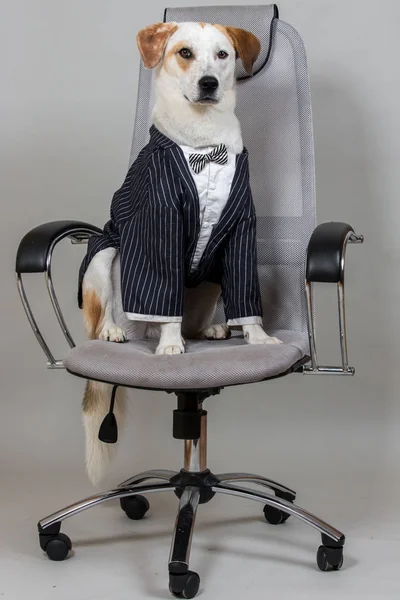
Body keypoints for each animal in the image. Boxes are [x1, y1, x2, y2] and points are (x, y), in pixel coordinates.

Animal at [79, 21, 282, 486]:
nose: (208, 83)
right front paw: (171, 347)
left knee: (193, 316)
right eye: (184, 53)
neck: (204, 146)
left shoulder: (241, 228)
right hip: (103, 255)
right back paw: (117, 332)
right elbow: (162, 296)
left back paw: (211, 329)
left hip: (209, 283)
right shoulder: (160, 227)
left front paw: (257, 337)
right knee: (111, 314)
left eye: (223, 54)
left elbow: (248, 297)